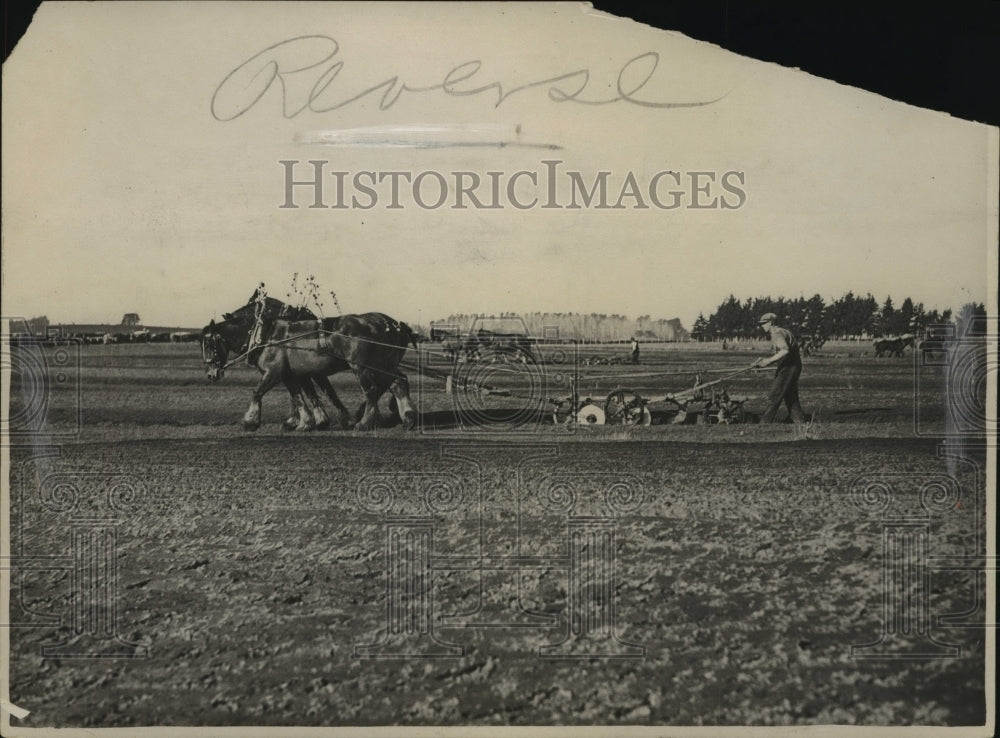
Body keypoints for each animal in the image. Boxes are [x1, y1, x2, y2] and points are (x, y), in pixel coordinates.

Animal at [203, 292, 418, 432]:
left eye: (210, 343)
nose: (211, 374)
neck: (267, 335)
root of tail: (393, 325)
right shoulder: (292, 375)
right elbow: (300, 397)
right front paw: (306, 422)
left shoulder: (274, 372)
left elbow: (258, 392)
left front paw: (250, 422)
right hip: (383, 366)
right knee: (398, 382)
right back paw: (408, 418)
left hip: (362, 367)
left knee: (373, 391)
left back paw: (364, 423)